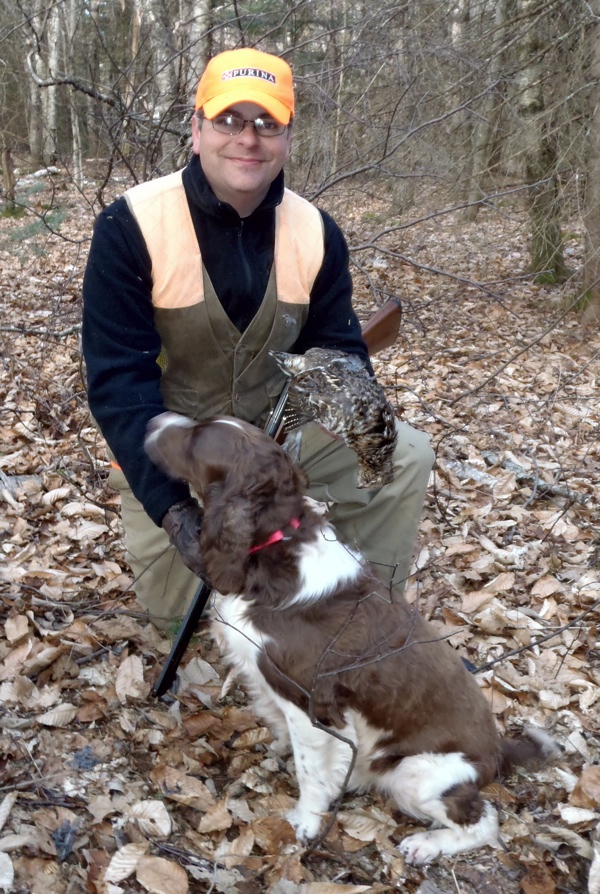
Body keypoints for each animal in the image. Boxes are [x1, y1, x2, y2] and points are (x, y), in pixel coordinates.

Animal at [144, 414, 552, 868]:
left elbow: (310, 769)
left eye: (196, 438)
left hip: (416, 774)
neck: (277, 546)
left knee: (484, 822)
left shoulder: (312, 705)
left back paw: (426, 844)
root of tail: (498, 752)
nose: (155, 419)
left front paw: (305, 821)